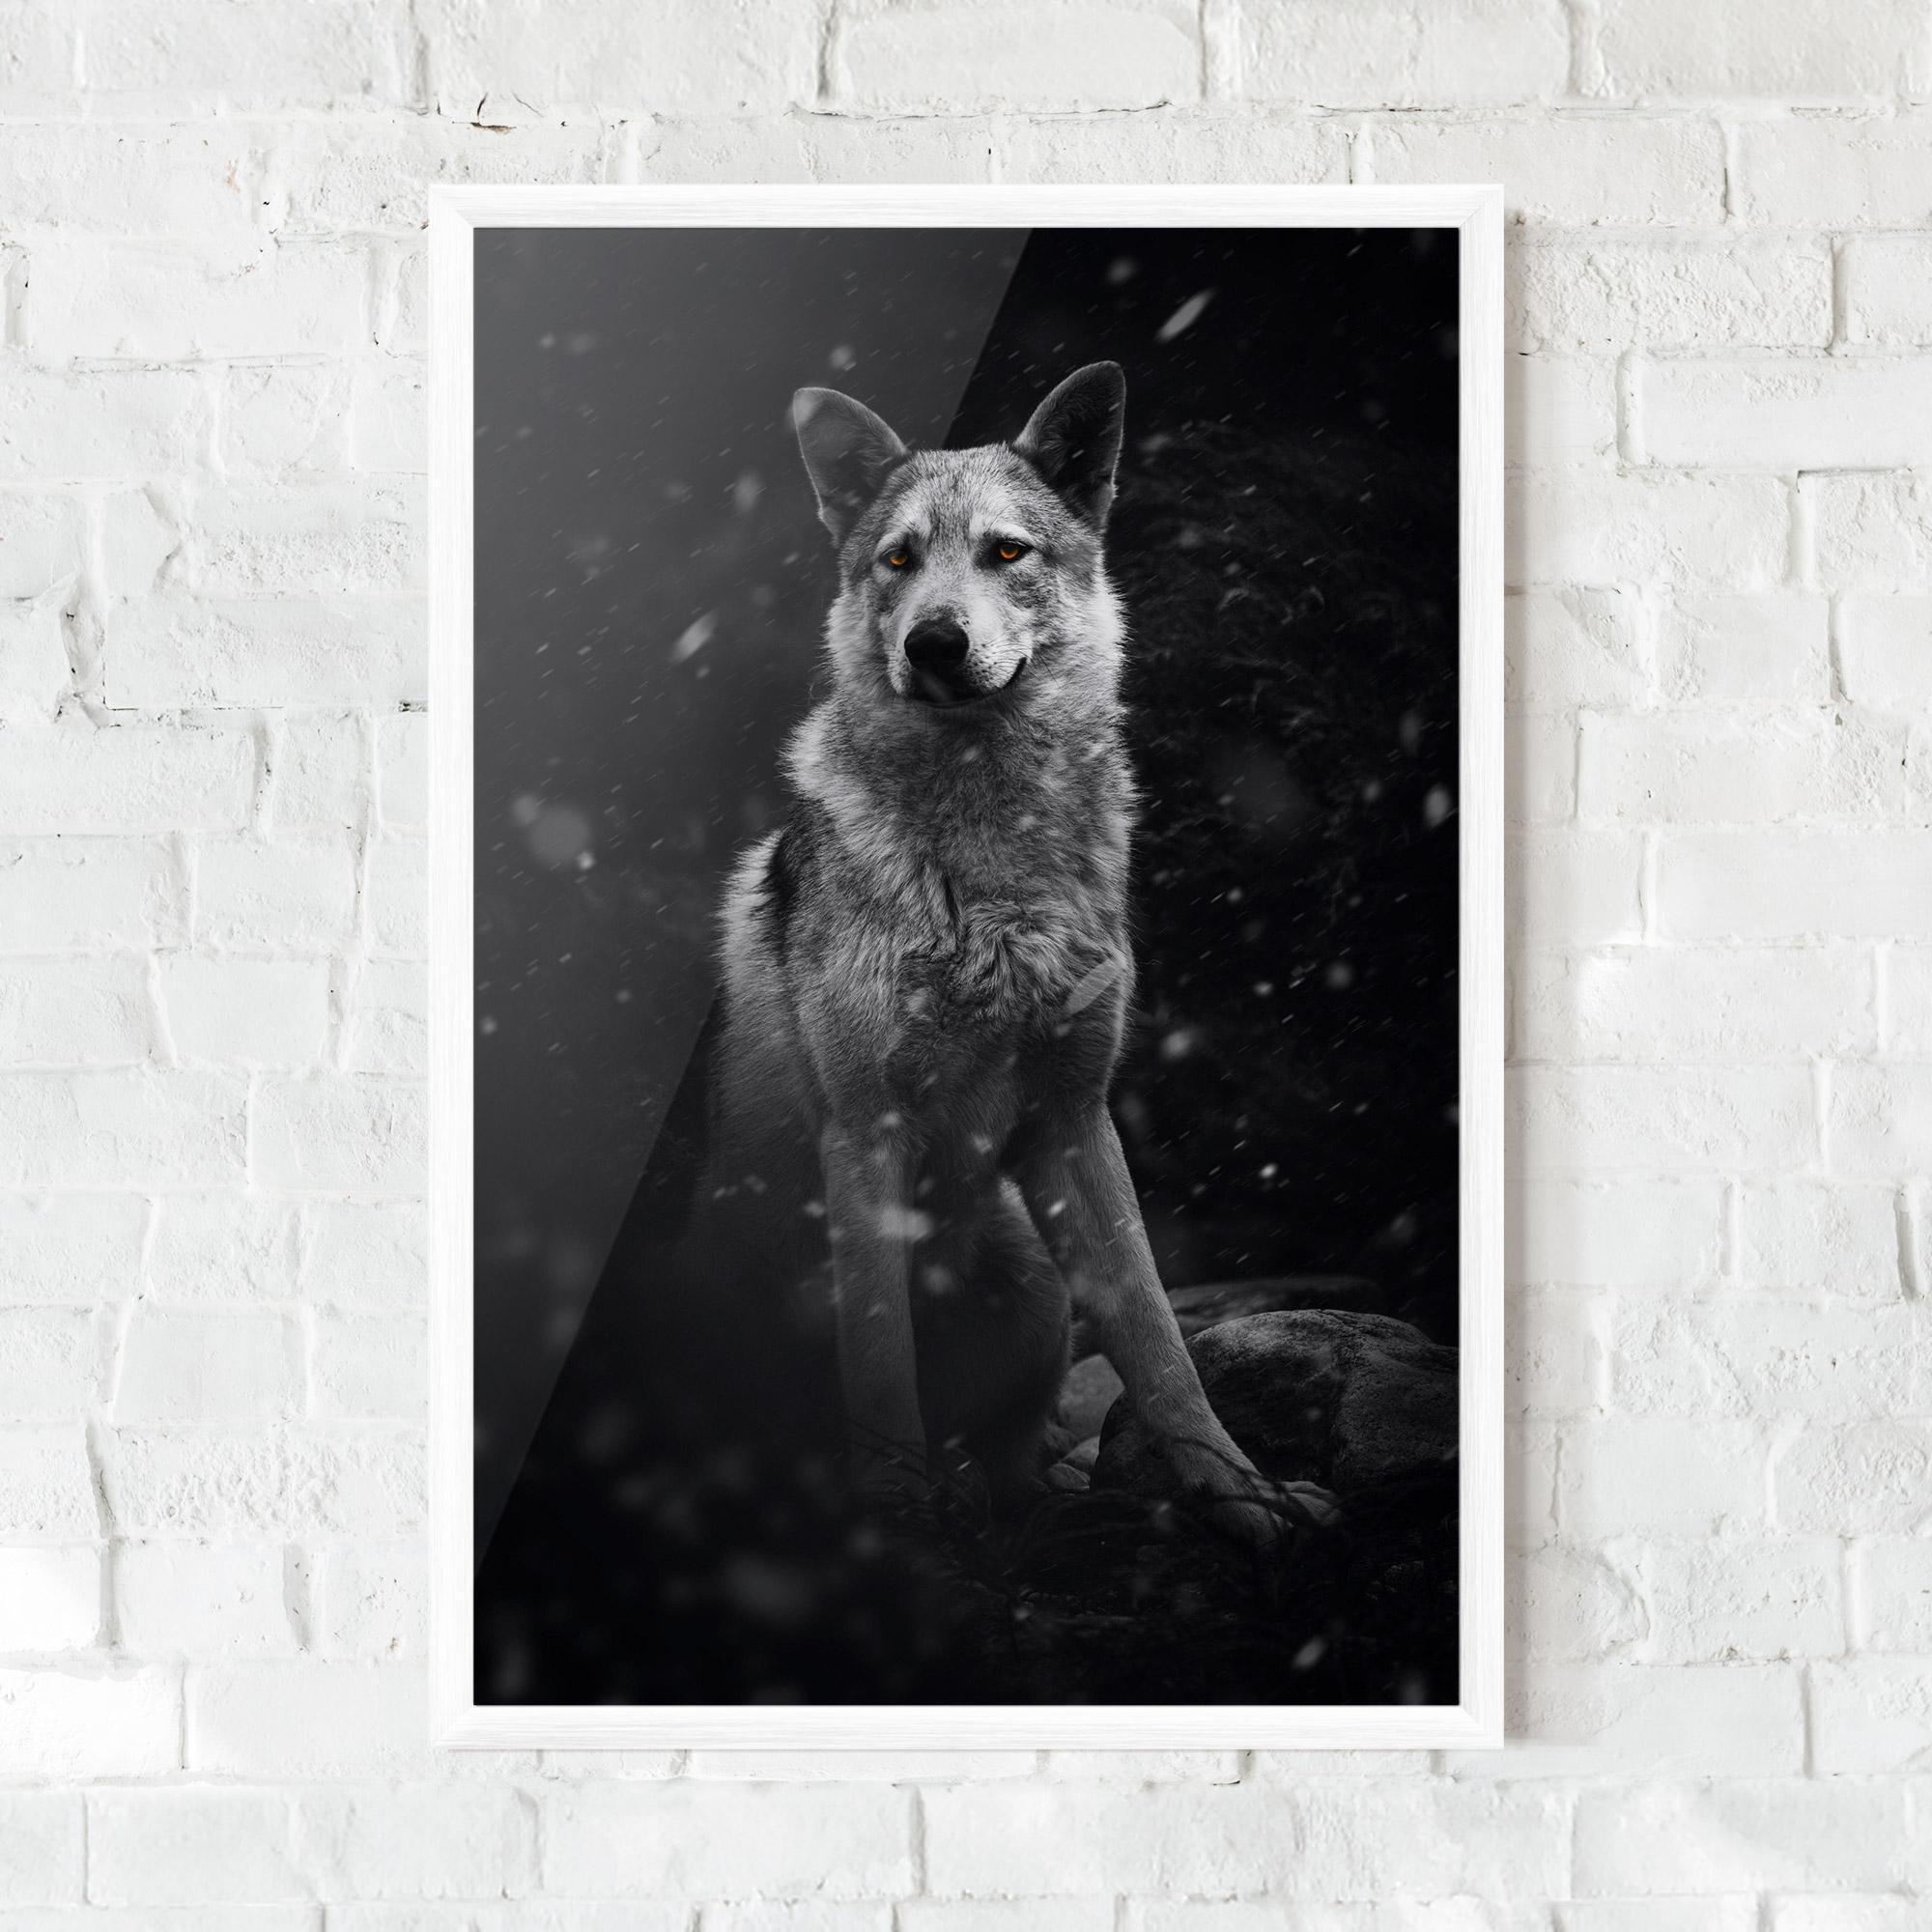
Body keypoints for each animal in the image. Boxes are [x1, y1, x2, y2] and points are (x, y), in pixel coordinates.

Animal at [705, 363, 1293, 1547]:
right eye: (898, 561)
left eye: (1007, 552)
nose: (932, 642)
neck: (990, 876)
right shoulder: (864, 1139)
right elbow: (880, 1365)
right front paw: (892, 1525)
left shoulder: (1074, 1121)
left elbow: (1160, 1343)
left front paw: (1242, 1494)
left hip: (1033, 1287)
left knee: (1015, 1461)